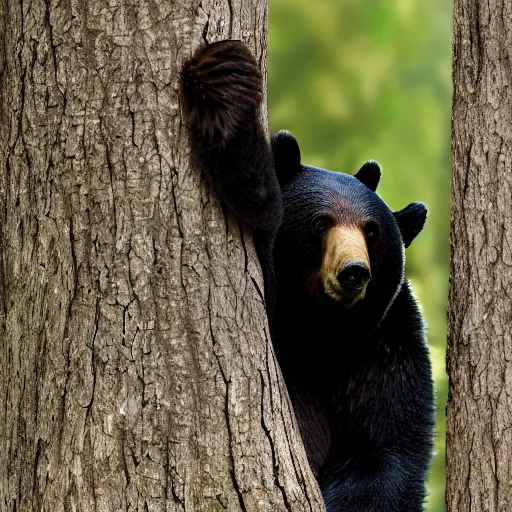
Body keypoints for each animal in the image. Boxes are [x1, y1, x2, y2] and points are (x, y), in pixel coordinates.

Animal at [182, 41, 434, 512]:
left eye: (371, 231)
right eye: (321, 223)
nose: (353, 272)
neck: (316, 333)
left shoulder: (382, 344)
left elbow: (384, 450)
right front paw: (225, 85)